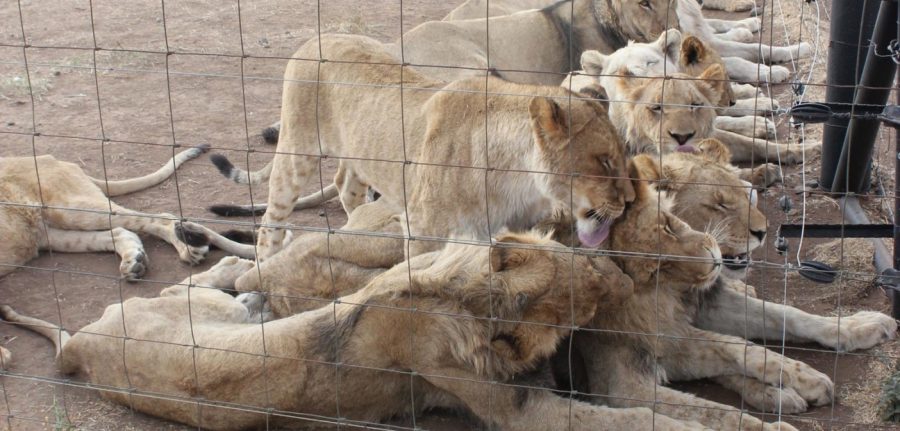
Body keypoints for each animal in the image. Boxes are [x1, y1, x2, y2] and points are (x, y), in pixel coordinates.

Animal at [0, 145, 253, 282]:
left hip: (70, 208)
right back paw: (134, 262)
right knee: (121, 231)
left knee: (161, 218)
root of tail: (49, 158)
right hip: (48, 235)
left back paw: (190, 248)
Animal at [1, 240, 716, 431]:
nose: (620, 272)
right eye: (590, 289)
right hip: (193, 313)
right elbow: (632, 419)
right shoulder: (519, 409)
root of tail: (81, 345)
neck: (461, 297)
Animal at [211, 34, 632, 260]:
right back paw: (264, 265)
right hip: (296, 152)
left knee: (346, 185)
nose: (628, 203)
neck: (518, 178)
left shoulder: (511, 227)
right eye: (604, 161)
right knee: (271, 220)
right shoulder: (425, 232)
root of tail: (320, 36)